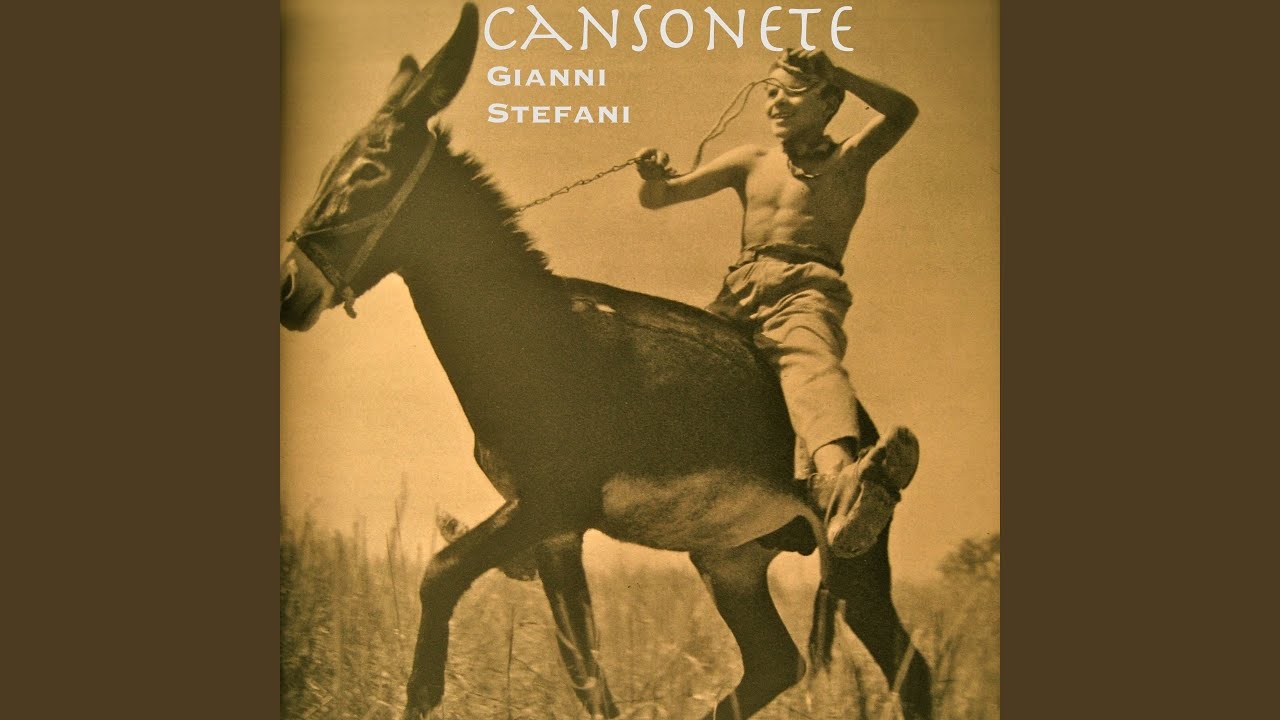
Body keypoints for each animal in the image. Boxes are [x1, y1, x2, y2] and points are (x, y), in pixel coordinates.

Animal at [279, 5, 932, 719]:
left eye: (370, 171)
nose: (288, 290)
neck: (542, 336)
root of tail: (866, 425)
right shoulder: (551, 529)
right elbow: (585, 673)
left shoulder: (554, 502)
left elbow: (439, 575)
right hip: (729, 557)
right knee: (773, 662)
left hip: (855, 563)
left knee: (909, 668)